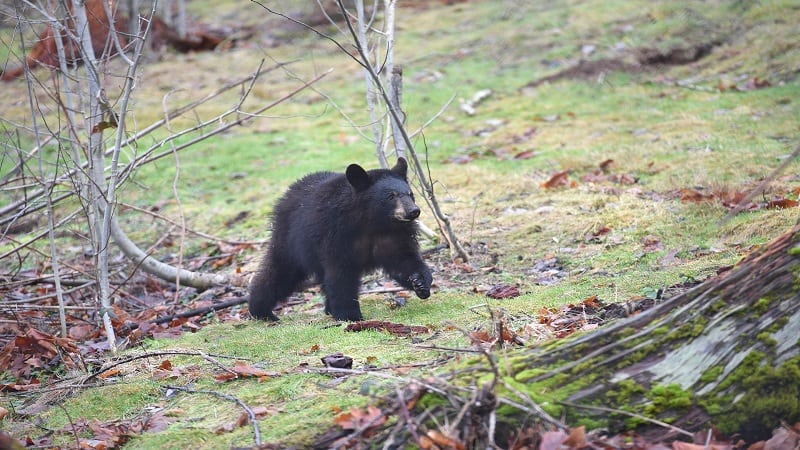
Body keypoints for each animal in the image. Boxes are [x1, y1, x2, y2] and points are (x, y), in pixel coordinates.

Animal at [250, 157, 434, 320]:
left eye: (410, 194)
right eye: (391, 196)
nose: (414, 211)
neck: (373, 222)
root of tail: (287, 194)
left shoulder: (393, 236)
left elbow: (403, 260)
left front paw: (420, 283)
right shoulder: (336, 235)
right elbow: (340, 274)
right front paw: (350, 315)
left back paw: (328, 309)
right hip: (290, 240)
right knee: (280, 272)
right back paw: (260, 310)